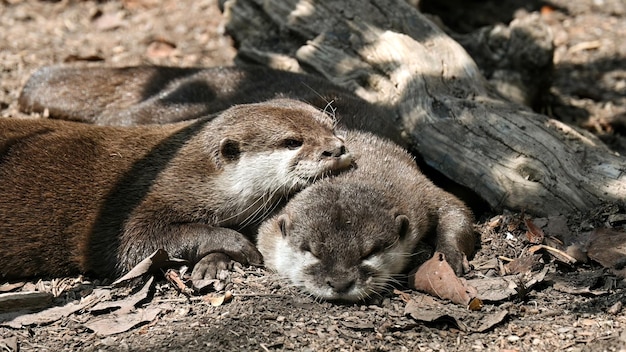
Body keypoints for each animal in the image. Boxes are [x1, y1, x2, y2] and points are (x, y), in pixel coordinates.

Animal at [0, 98, 352, 280]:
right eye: (292, 141)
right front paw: (237, 245)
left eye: (331, 126)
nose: (336, 149)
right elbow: (135, 244)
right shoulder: (130, 205)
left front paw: (214, 263)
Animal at [255, 131, 472, 304]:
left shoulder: (418, 192)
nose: (340, 283)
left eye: (369, 253)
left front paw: (448, 257)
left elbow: (455, 207)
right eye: (312, 251)